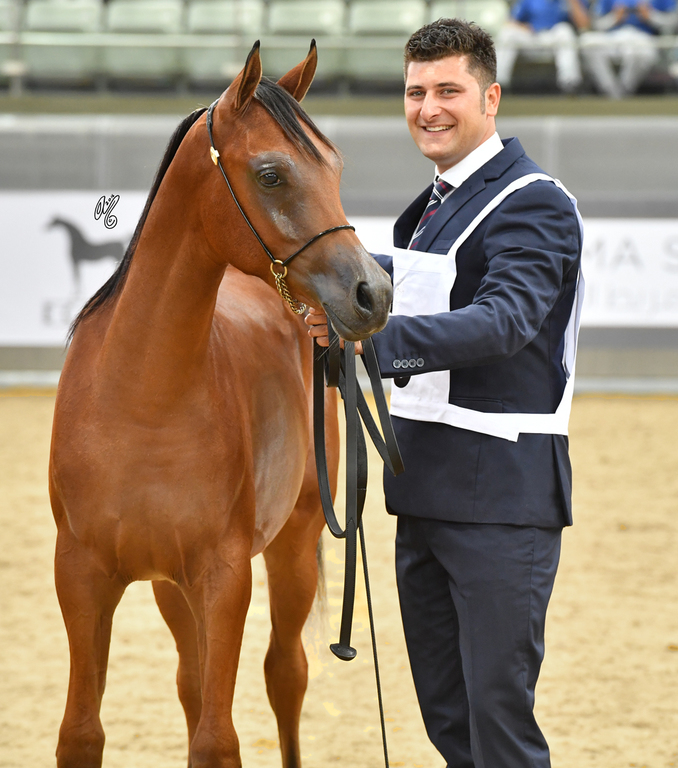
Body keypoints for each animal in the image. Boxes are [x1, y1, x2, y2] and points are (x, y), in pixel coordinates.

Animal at [48, 41, 392, 768]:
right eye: (271, 174)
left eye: (335, 167)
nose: (373, 291)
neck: (141, 400)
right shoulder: (83, 577)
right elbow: (83, 732)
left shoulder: (224, 576)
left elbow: (217, 737)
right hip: (170, 585)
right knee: (192, 680)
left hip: (292, 545)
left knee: (285, 673)